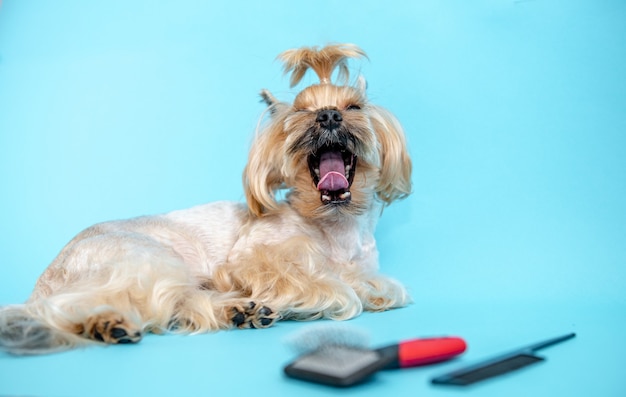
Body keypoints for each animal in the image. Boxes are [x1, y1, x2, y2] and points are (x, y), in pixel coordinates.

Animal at [0, 43, 412, 352]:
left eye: (354, 108)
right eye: (300, 112)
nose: (327, 115)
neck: (334, 227)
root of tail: (46, 278)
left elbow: (382, 287)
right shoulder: (251, 261)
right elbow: (337, 289)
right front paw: (311, 296)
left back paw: (233, 312)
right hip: (149, 260)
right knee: (68, 307)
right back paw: (105, 321)